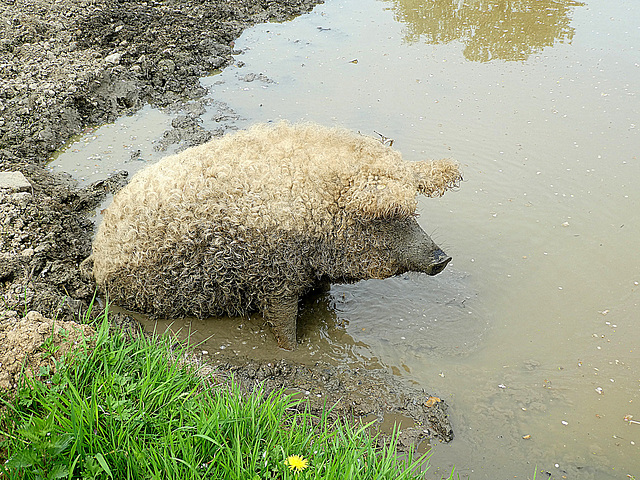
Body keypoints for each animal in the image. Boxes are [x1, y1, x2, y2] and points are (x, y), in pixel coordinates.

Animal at [90, 122, 460, 348]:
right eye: (387, 216)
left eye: (413, 211)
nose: (443, 258)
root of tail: (97, 257)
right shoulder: (275, 279)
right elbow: (283, 326)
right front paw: (293, 351)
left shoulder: (312, 276)